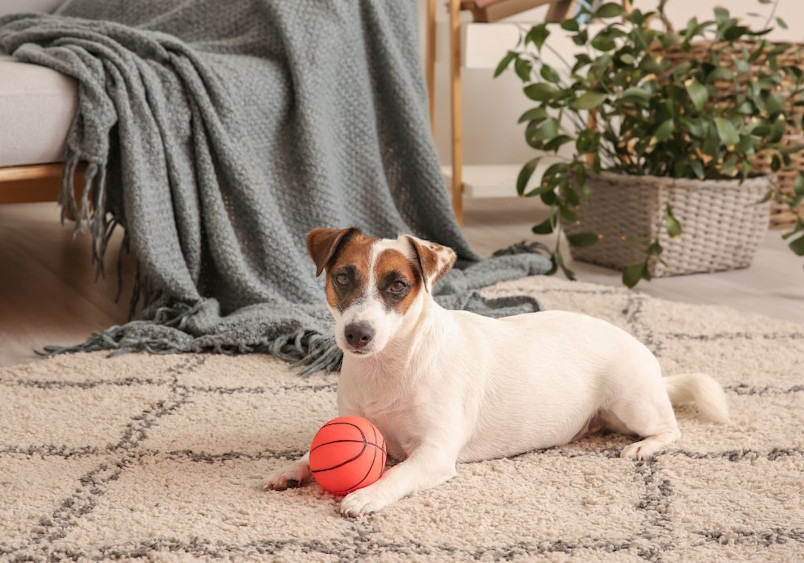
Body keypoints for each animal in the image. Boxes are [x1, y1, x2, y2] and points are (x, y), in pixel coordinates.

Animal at [264, 228, 728, 516]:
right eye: (343, 277)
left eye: (398, 285)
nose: (357, 334)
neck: (390, 365)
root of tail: (650, 364)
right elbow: (309, 454)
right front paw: (292, 469)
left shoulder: (435, 453)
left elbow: (398, 473)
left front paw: (367, 494)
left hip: (633, 403)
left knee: (670, 429)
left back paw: (643, 448)